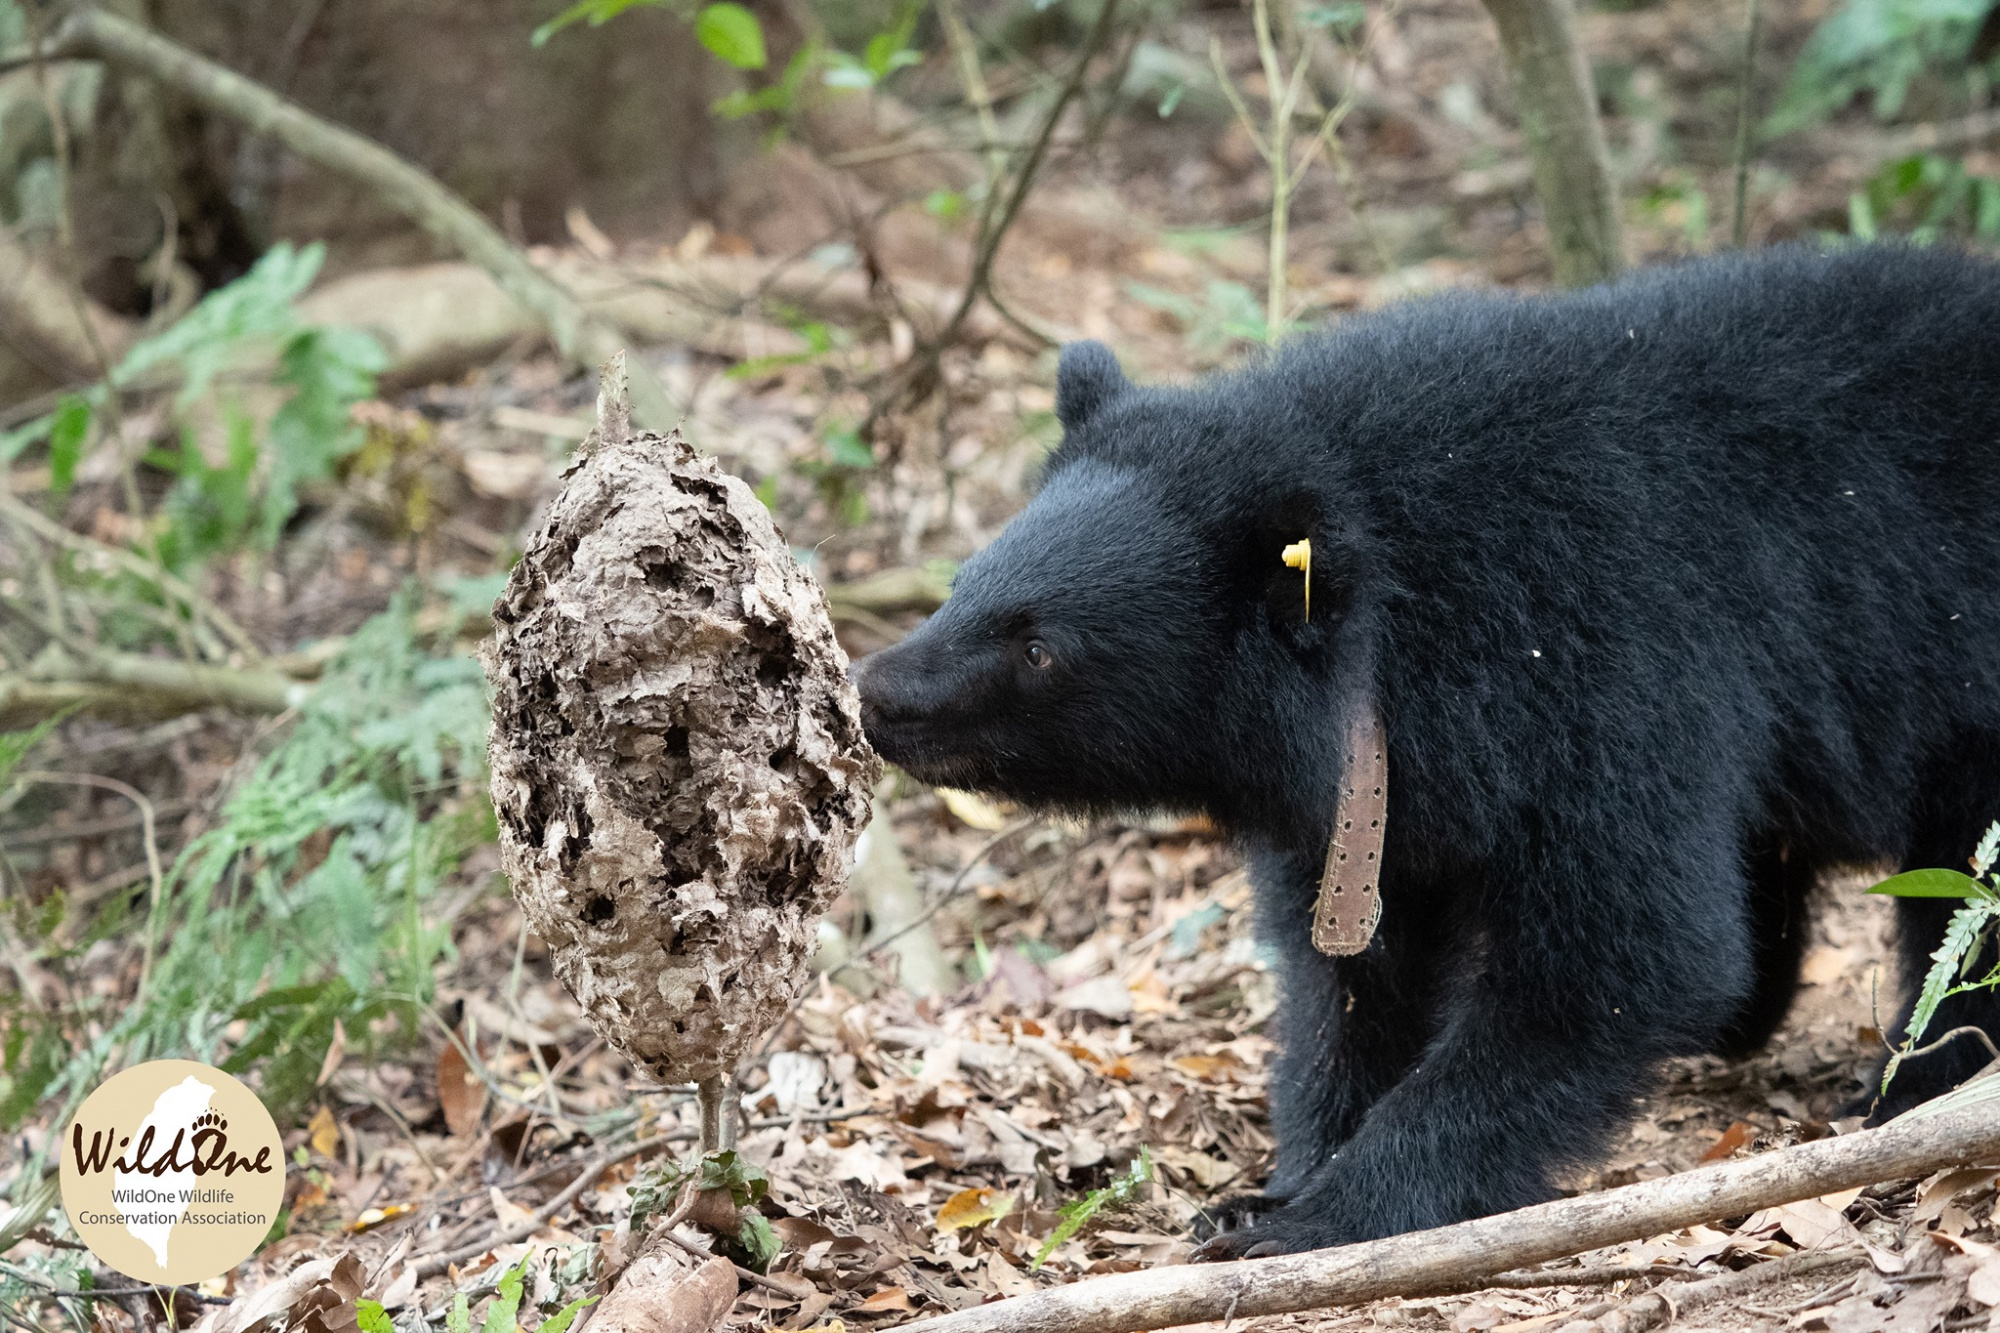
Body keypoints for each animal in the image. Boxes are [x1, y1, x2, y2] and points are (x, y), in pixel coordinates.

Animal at [852, 244, 2000, 1248]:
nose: (877, 694)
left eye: (1040, 646)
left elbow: (1622, 950)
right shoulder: (1379, 790)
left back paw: (1915, 1079)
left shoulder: (1613, 676)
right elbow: (1356, 971)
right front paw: (1269, 1190)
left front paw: (1321, 1213)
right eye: (962, 584)